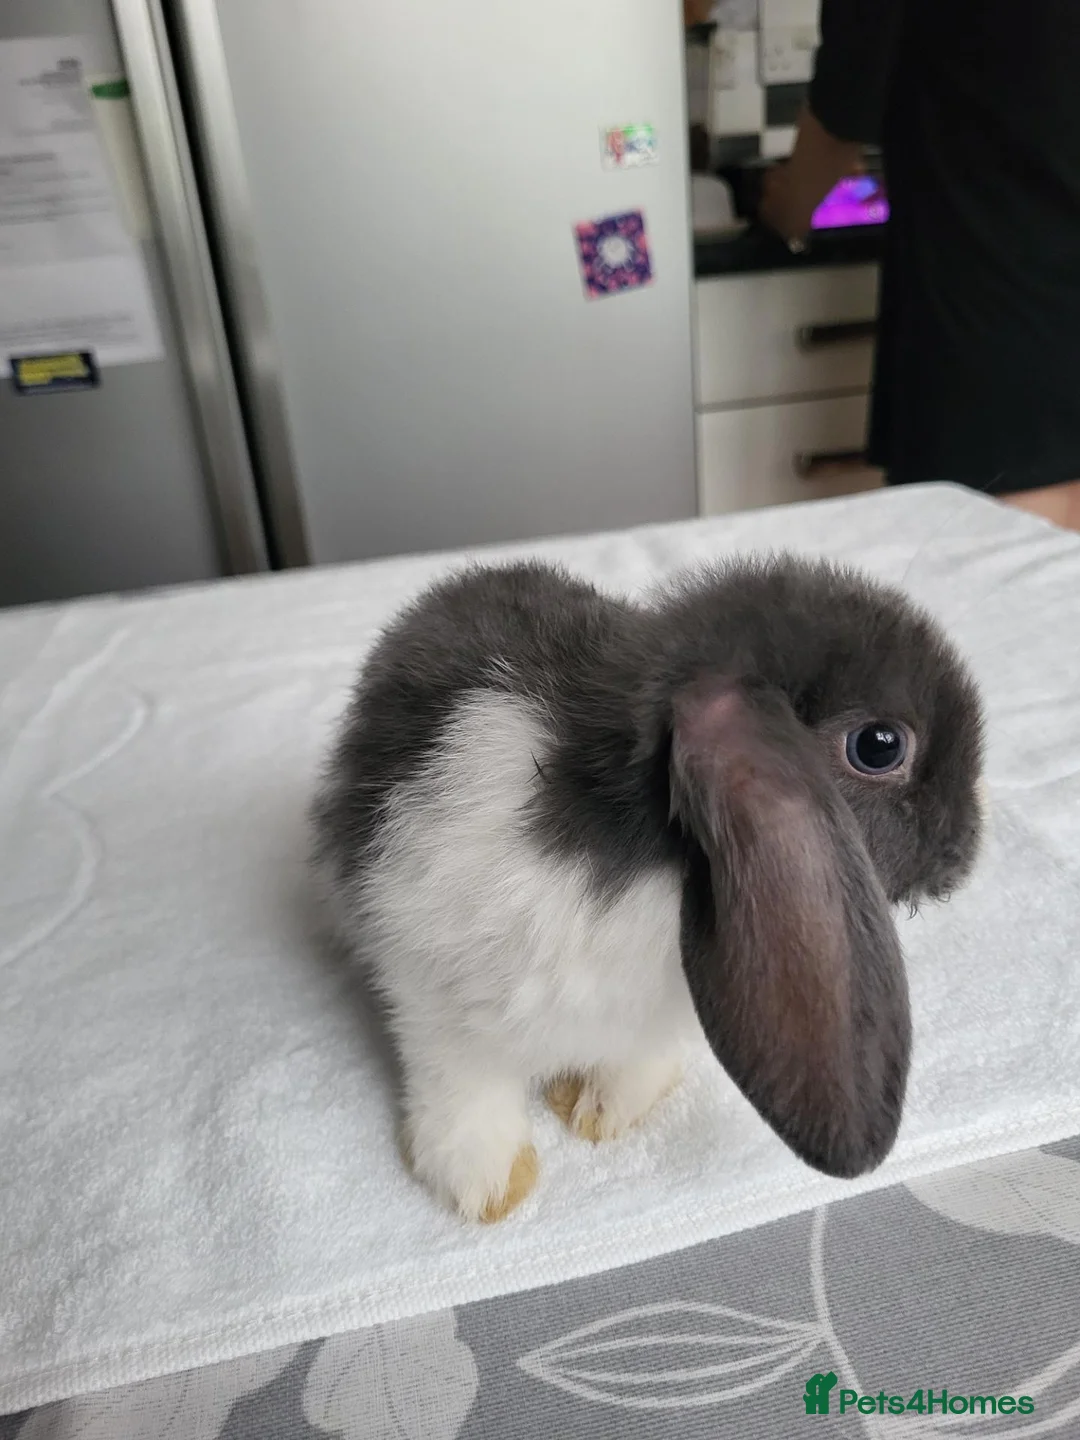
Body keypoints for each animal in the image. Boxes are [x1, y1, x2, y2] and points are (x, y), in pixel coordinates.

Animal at [310, 553, 986, 1224]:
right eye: (880, 745)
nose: (963, 850)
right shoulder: (432, 992)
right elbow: (464, 1086)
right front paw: (488, 1185)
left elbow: (635, 1066)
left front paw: (604, 1116)